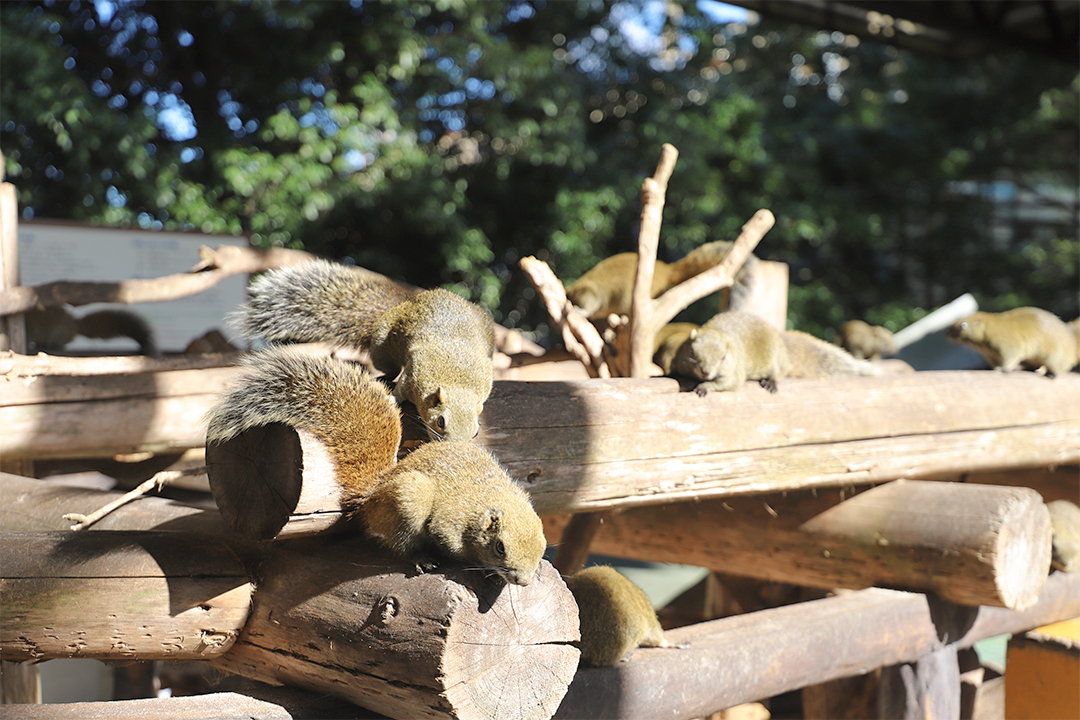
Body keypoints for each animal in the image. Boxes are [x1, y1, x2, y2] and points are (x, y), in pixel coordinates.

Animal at [24, 306, 157, 356]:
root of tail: (74, 324)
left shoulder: (30, 328)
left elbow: (28, 337)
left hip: (59, 333)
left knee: (61, 344)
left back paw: (53, 346)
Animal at [207, 345, 548, 587]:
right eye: (500, 547)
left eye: (544, 546)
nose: (522, 582)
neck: (486, 504)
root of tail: (374, 493)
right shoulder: (449, 524)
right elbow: (446, 541)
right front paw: (479, 568)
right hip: (410, 496)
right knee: (399, 543)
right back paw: (419, 558)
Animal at [239, 257, 494, 440]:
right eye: (441, 422)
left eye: (476, 432)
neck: (456, 381)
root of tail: (406, 304)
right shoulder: (414, 374)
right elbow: (401, 388)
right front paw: (392, 399)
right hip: (382, 347)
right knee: (390, 368)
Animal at [946, 306, 1080, 377]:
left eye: (963, 325)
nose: (946, 334)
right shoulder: (990, 355)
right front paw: (998, 368)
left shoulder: (1009, 344)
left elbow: (1010, 357)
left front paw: (1003, 369)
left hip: (1055, 355)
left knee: (1059, 367)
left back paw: (1044, 371)